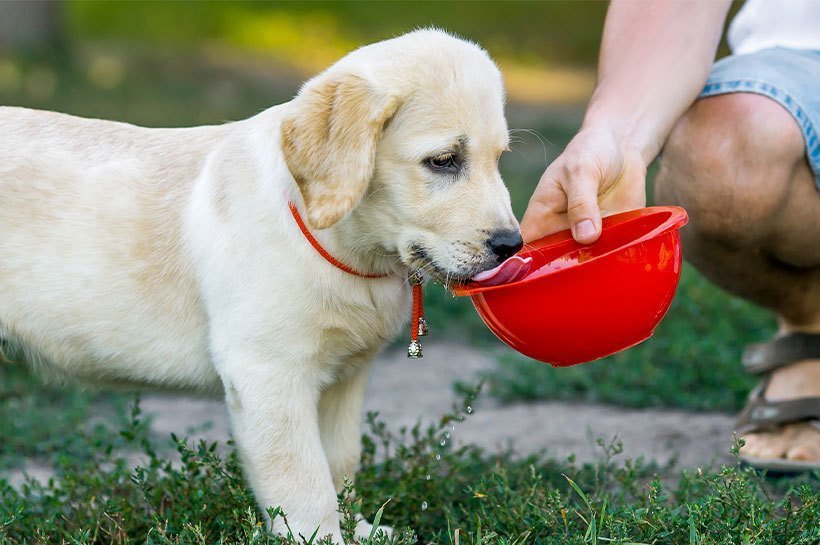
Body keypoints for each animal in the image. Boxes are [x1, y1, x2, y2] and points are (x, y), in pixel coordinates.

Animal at [0, 29, 524, 540]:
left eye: (499, 158)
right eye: (443, 161)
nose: (511, 245)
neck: (339, 243)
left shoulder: (345, 377)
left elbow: (340, 463)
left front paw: (359, 528)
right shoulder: (268, 374)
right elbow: (305, 483)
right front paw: (322, 537)